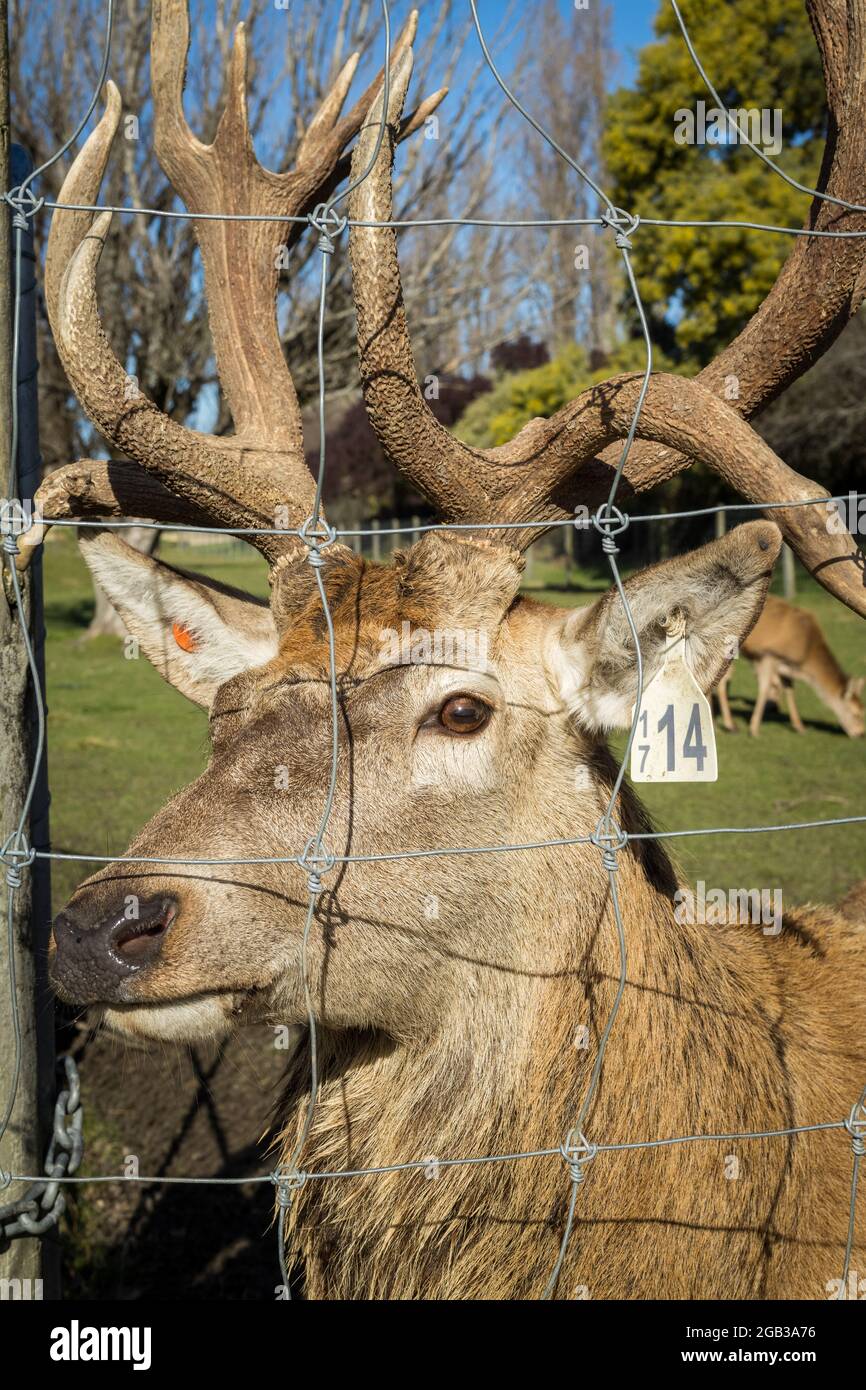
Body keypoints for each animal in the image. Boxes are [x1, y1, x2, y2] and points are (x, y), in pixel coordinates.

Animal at [715, 594, 865, 737]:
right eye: (856, 713)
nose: (861, 733)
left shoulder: (784, 665)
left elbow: (789, 688)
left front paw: (799, 726)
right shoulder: (769, 654)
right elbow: (764, 688)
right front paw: (754, 729)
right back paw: (730, 725)